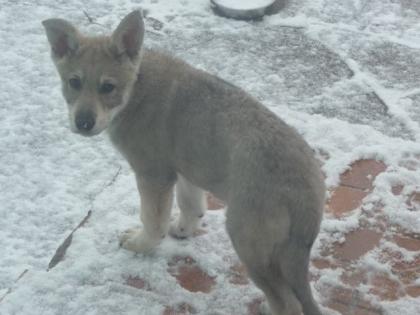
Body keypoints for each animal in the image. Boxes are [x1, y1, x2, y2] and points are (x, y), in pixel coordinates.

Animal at [42, 10, 324, 315]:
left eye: (108, 87)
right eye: (74, 82)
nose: (83, 123)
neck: (137, 89)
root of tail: (307, 194)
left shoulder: (153, 174)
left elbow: (153, 221)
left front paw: (139, 244)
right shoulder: (186, 167)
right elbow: (191, 204)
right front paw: (182, 230)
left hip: (249, 243)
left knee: (287, 302)